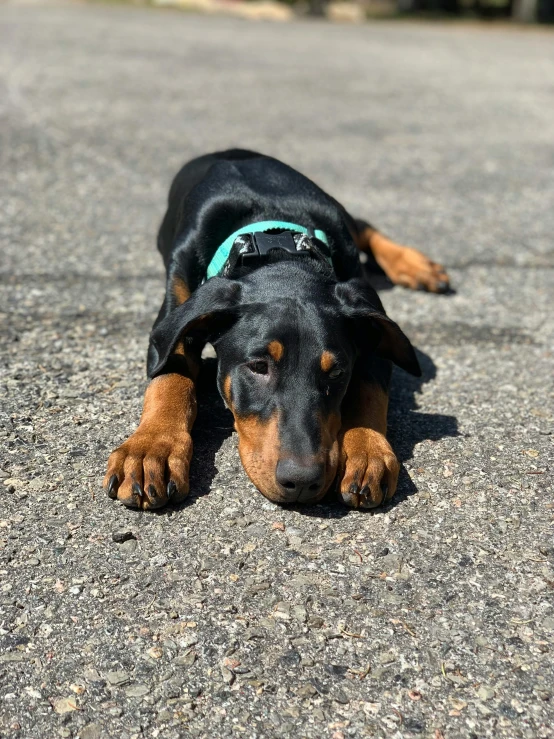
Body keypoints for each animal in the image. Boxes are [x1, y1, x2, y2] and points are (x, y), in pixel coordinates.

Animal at [103, 149, 448, 508]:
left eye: (338, 373)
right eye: (258, 367)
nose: (302, 482)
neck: (274, 240)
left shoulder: (369, 324)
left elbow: (368, 389)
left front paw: (367, 451)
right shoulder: (173, 317)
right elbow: (169, 377)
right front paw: (150, 450)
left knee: (363, 225)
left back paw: (416, 265)